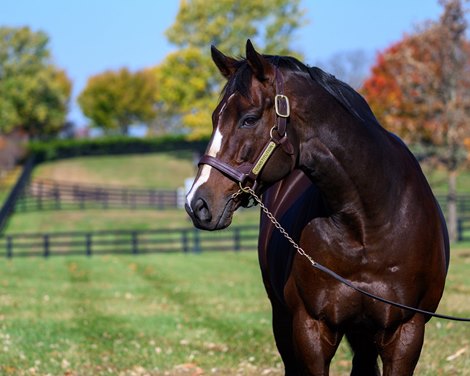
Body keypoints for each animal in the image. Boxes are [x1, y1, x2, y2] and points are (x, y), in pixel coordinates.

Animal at [184, 39, 448, 374]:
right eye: (215, 118)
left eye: (249, 119)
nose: (197, 203)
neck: (368, 225)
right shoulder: (311, 328)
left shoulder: (406, 332)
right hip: (284, 320)